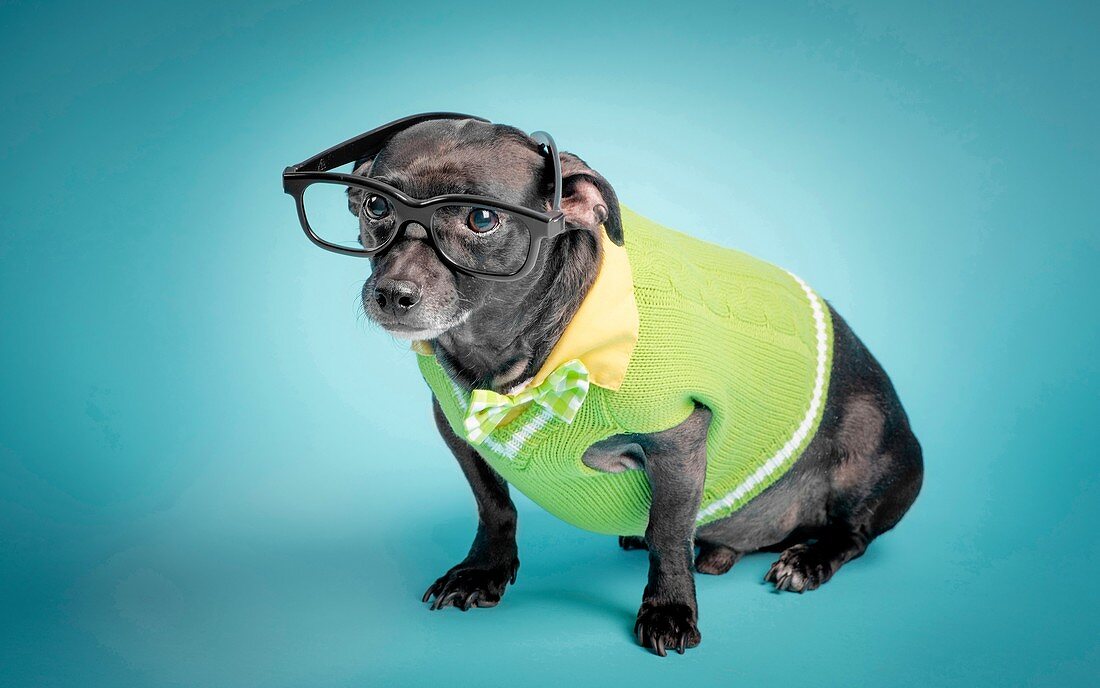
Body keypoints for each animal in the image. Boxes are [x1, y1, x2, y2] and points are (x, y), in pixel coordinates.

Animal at [347, 117, 924, 656]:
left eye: (481, 218)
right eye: (374, 205)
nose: (391, 293)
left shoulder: (679, 442)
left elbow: (668, 533)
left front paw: (669, 609)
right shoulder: (458, 432)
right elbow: (494, 505)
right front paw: (483, 571)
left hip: (867, 444)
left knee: (854, 534)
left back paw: (808, 559)